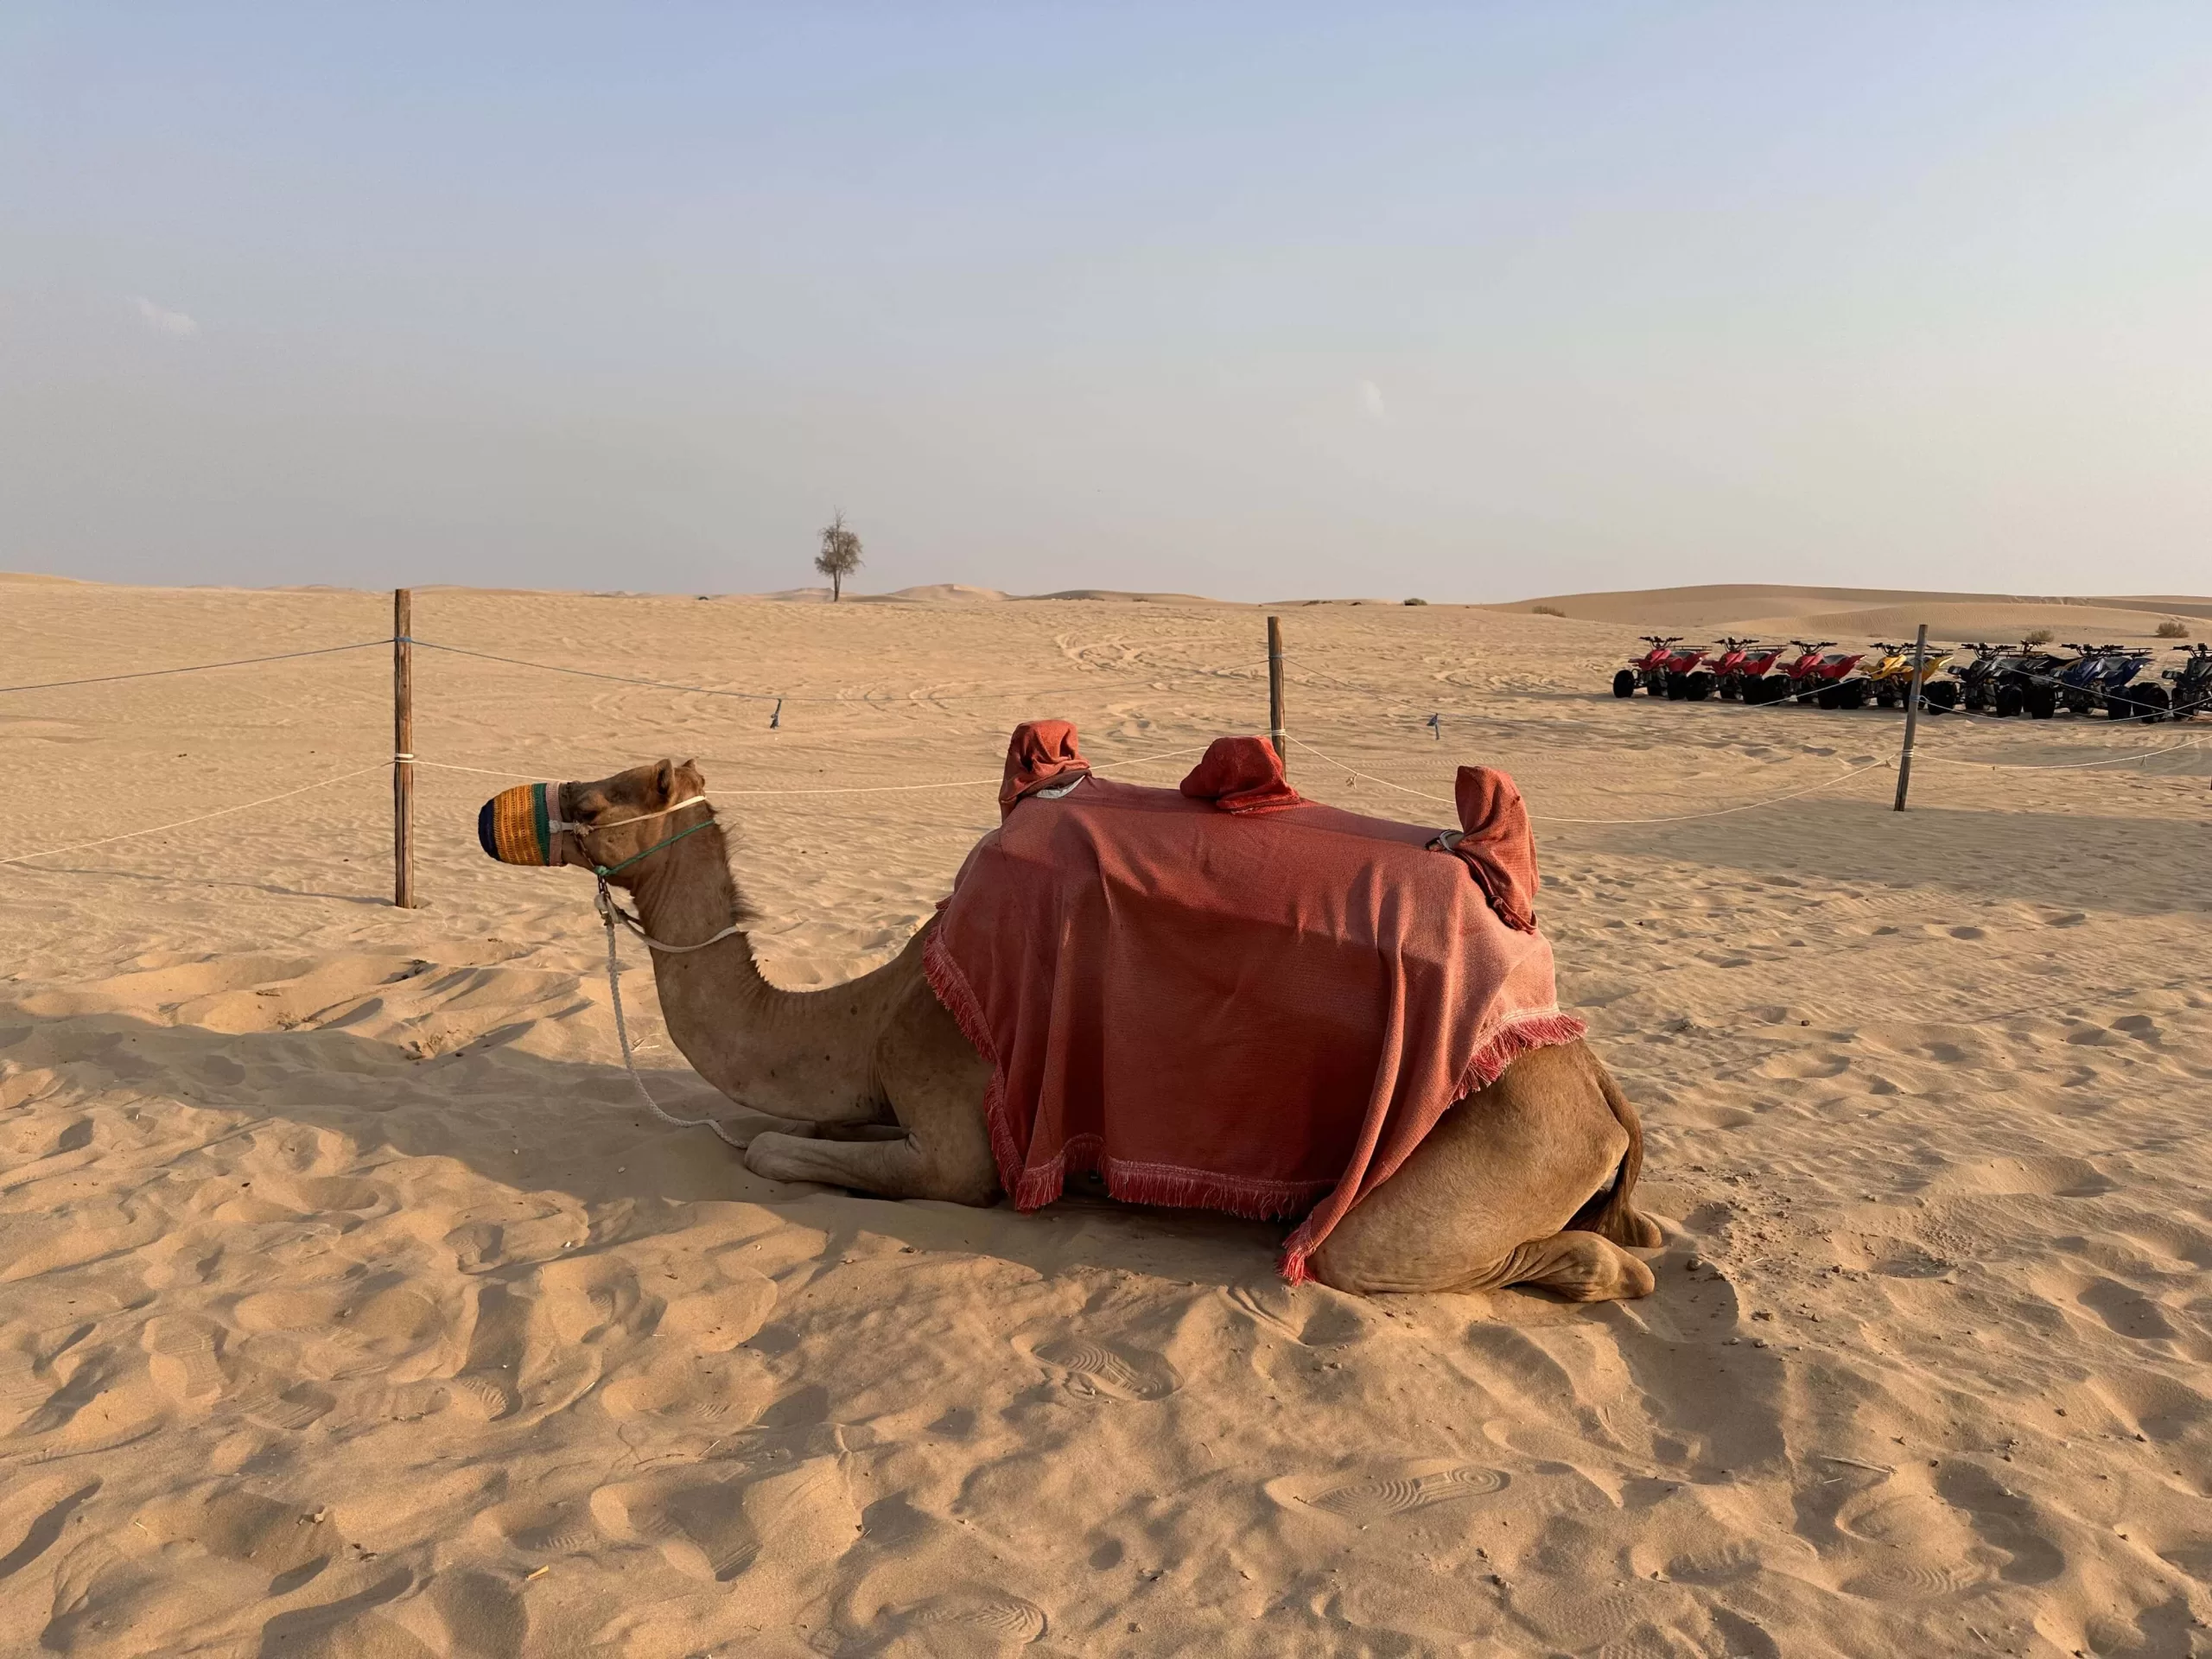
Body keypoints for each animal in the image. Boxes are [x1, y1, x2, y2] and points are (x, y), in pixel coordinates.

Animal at [491, 760, 1663, 1302]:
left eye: (594, 804)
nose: (493, 814)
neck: (877, 1010)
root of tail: (1591, 1077)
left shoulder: (960, 1136)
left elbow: (774, 1148)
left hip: (1486, 1150)